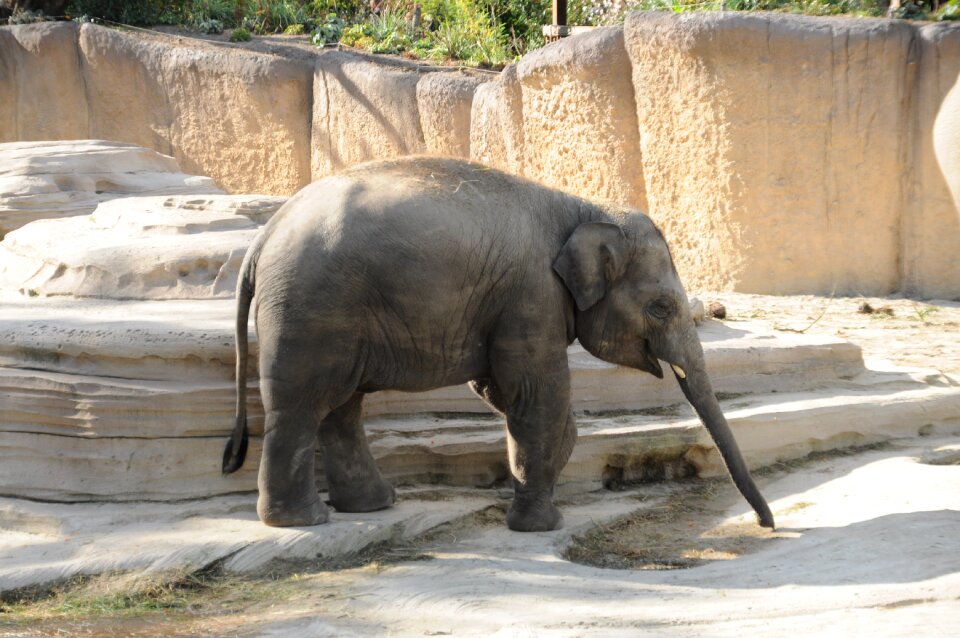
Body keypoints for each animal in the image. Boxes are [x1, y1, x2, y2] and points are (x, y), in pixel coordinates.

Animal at [221, 156, 776, 536]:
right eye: (661, 306)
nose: (767, 525)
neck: (585, 207)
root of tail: (264, 235)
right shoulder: (532, 293)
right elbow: (535, 393)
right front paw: (541, 525)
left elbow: (501, 391)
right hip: (310, 307)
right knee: (303, 406)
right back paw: (301, 522)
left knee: (341, 407)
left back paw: (372, 505)